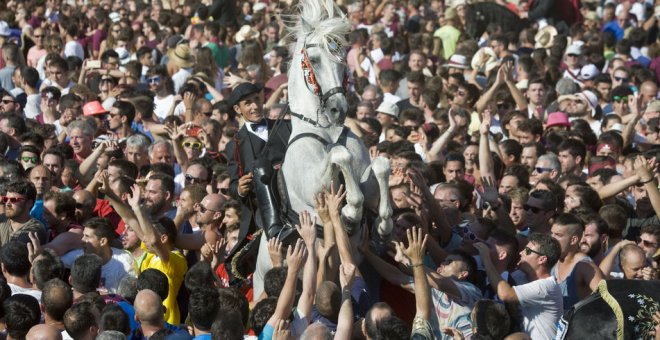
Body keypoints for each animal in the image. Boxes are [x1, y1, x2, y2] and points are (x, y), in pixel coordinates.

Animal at [282, 0, 394, 239]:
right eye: (314, 60)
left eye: (343, 61)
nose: (338, 109)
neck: (327, 131)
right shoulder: (313, 188)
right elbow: (340, 154)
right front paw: (350, 212)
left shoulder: (367, 180)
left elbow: (381, 164)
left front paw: (383, 221)